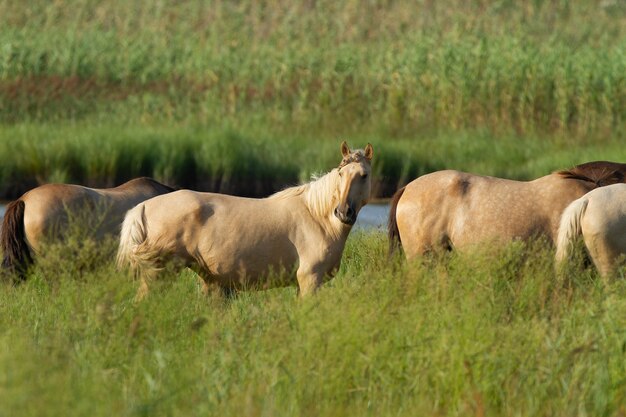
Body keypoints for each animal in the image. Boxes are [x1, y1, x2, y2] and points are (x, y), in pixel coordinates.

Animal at [115, 141, 372, 298]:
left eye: (364, 175)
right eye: (340, 174)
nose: (343, 212)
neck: (316, 217)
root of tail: (144, 206)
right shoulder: (310, 280)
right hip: (158, 274)